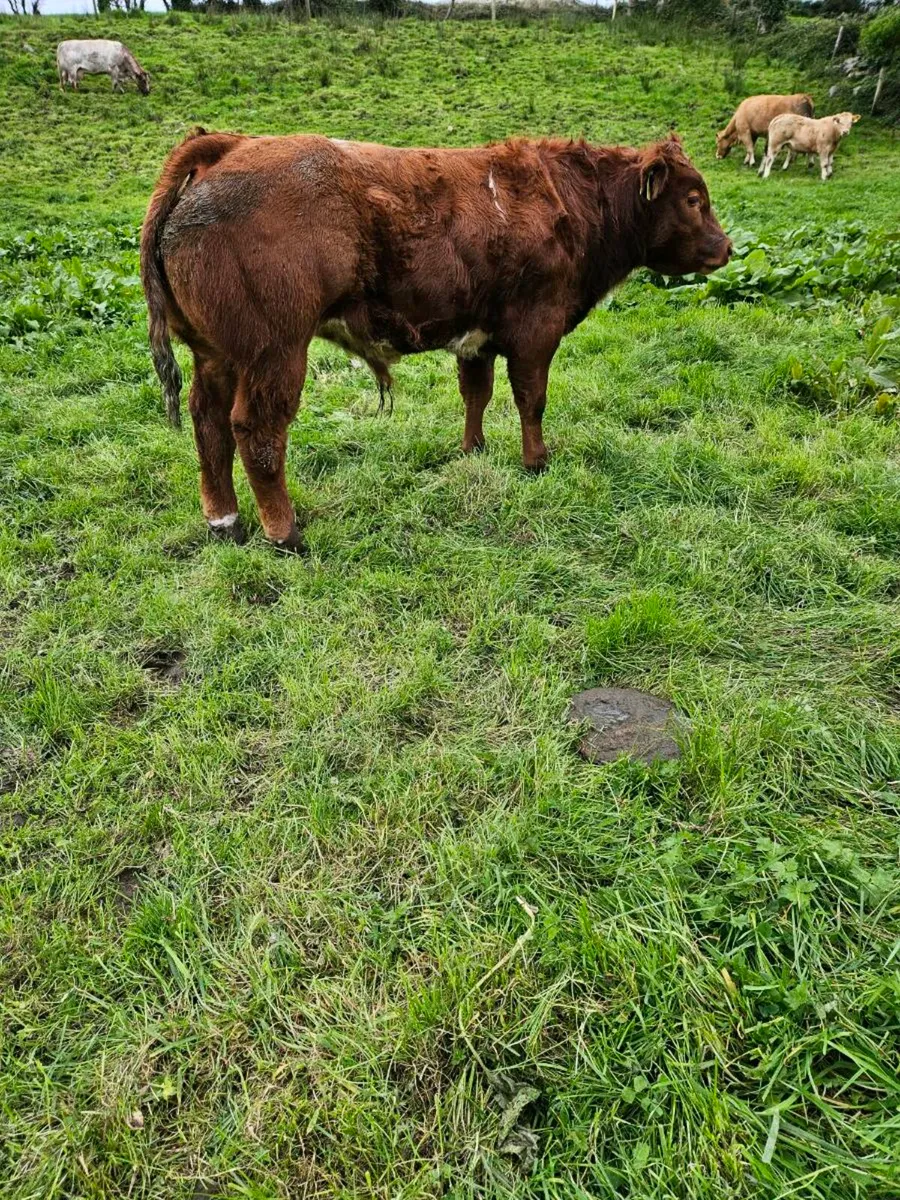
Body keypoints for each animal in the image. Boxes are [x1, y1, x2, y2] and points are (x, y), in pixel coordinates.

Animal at [140, 130, 731, 552]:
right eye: (693, 199)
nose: (725, 248)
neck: (569, 197)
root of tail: (230, 144)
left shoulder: (479, 337)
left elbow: (478, 394)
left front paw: (474, 449)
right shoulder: (536, 331)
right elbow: (531, 399)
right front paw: (536, 461)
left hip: (215, 354)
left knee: (209, 422)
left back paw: (225, 521)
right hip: (275, 352)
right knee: (256, 430)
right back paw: (284, 533)